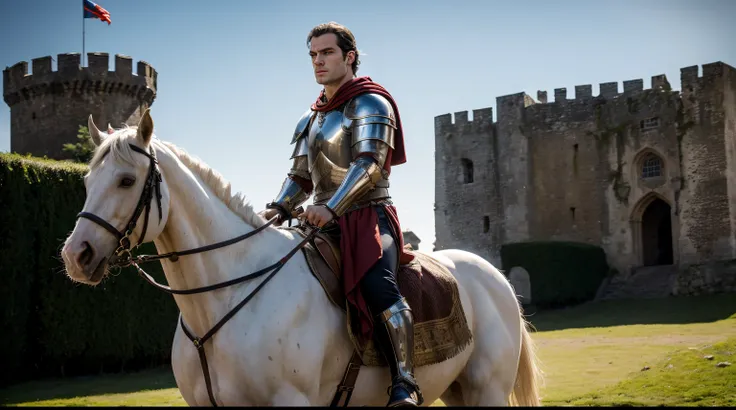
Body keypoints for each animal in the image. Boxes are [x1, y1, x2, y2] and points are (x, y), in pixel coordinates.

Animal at [61, 109, 540, 406]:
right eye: (87, 181)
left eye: (126, 180)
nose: (76, 255)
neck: (225, 300)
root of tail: (494, 276)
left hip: (486, 391)